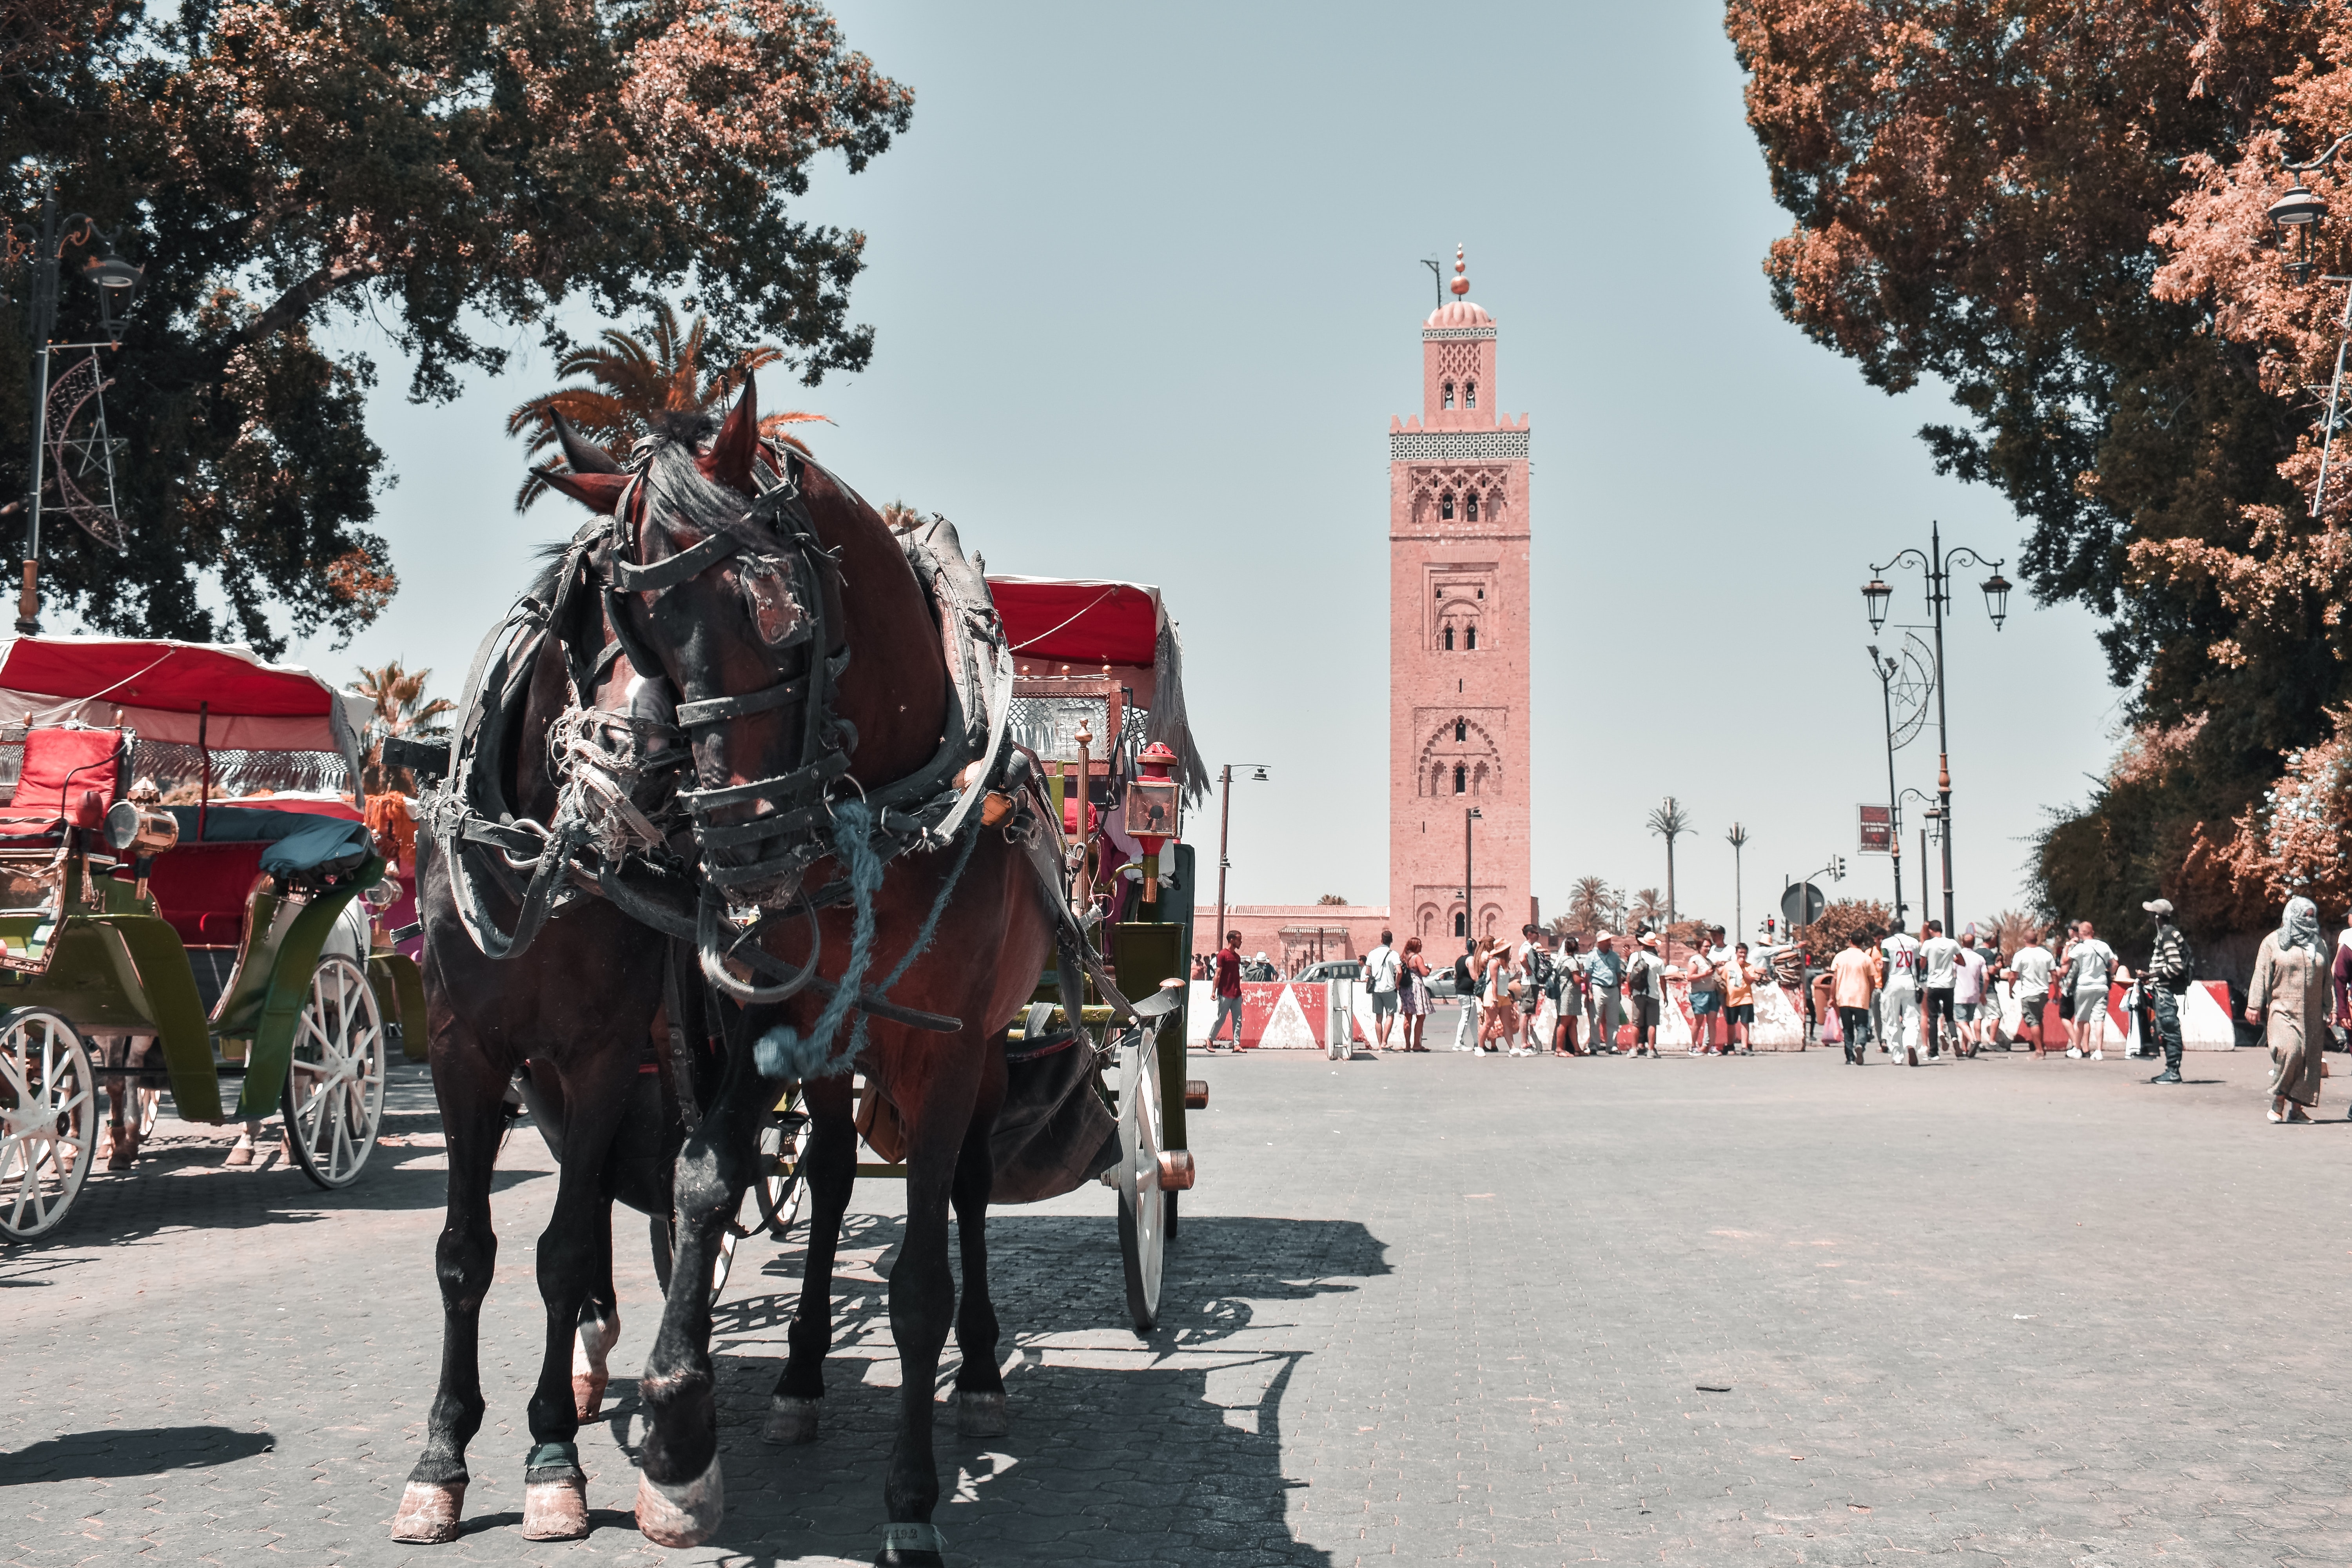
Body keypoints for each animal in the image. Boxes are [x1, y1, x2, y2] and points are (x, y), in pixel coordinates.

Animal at [393, 383, 1058, 1568]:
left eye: (780, 611)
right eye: (614, 623)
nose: (732, 841)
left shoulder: (923, 1047)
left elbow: (917, 1285)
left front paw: (908, 1497)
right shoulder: (478, 1047)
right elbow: (540, 1231)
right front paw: (628, 1434)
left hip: (980, 1052)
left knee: (971, 1193)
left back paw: (977, 1372)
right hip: (816, 1054)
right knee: (825, 1176)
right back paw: (777, 1376)